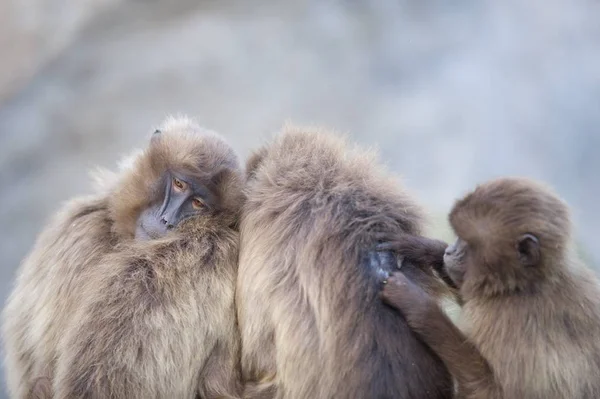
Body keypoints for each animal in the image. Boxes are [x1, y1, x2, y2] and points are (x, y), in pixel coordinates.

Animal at [382, 178, 600, 399]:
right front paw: (424, 249)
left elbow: (492, 391)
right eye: (457, 237)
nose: (449, 251)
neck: (524, 286)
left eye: (465, 242)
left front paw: (417, 305)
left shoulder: (511, 320)